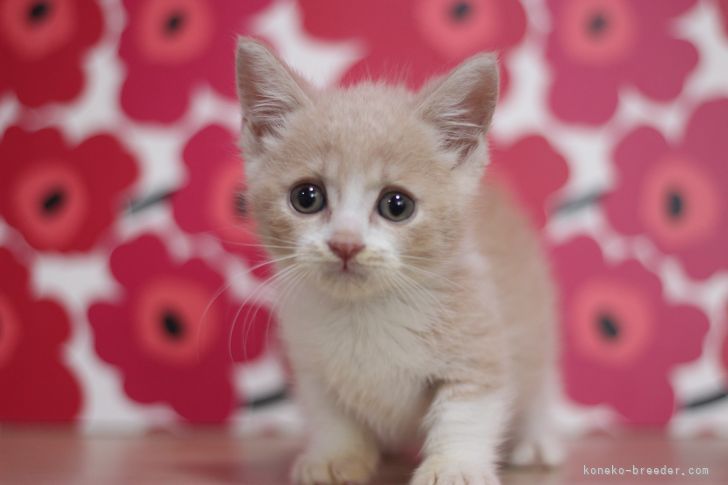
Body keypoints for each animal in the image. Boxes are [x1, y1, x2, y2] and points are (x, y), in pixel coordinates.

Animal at [236, 36, 560, 482]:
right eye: (306, 197)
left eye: (396, 205)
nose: (345, 244)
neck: (365, 312)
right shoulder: (311, 363)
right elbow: (329, 414)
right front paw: (335, 457)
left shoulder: (478, 337)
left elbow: (467, 409)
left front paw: (454, 466)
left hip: (537, 323)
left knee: (538, 384)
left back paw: (537, 439)